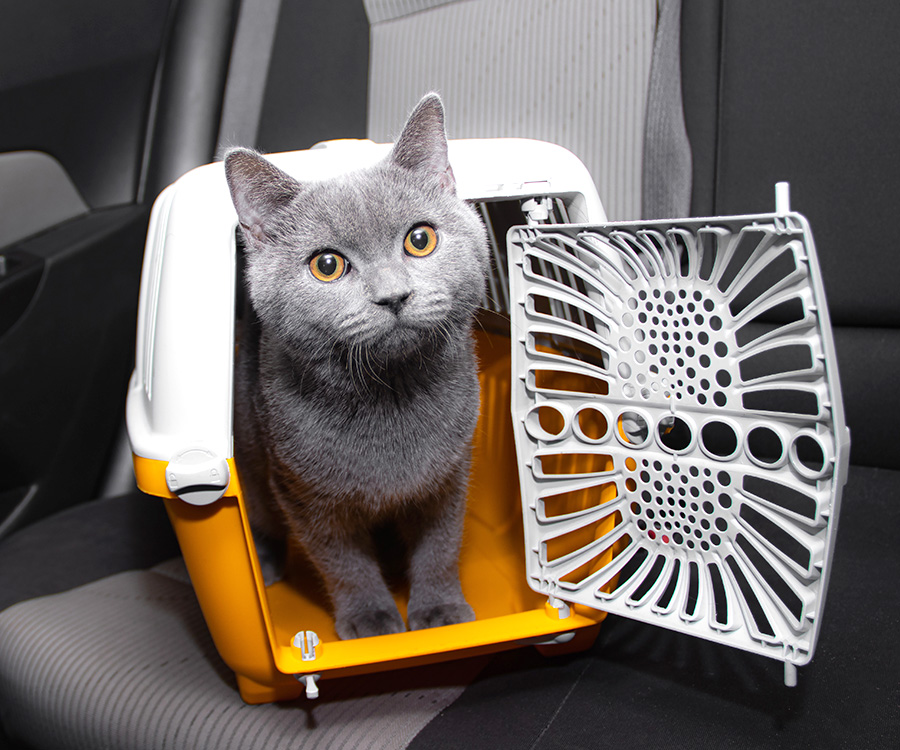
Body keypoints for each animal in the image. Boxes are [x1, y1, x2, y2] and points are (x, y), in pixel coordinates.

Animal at [227, 94, 492, 640]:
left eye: (420, 239)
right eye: (326, 265)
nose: (393, 295)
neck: (390, 395)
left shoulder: (450, 475)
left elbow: (440, 545)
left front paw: (439, 611)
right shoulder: (304, 495)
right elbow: (343, 562)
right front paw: (371, 620)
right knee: (261, 516)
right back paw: (266, 562)